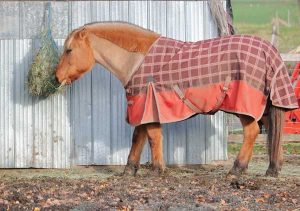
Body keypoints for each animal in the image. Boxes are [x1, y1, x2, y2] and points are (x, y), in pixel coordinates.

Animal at [55, 22, 298, 179]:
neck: (136, 60)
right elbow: (138, 137)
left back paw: (237, 170)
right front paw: (129, 170)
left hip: (243, 106)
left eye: (69, 50)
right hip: (266, 107)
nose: (56, 77)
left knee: (252, 132)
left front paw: (158, 170)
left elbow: (152, 137)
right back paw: (272, 170)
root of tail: (269, 50)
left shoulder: (149, 104)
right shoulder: (142, 106)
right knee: (274, 132)